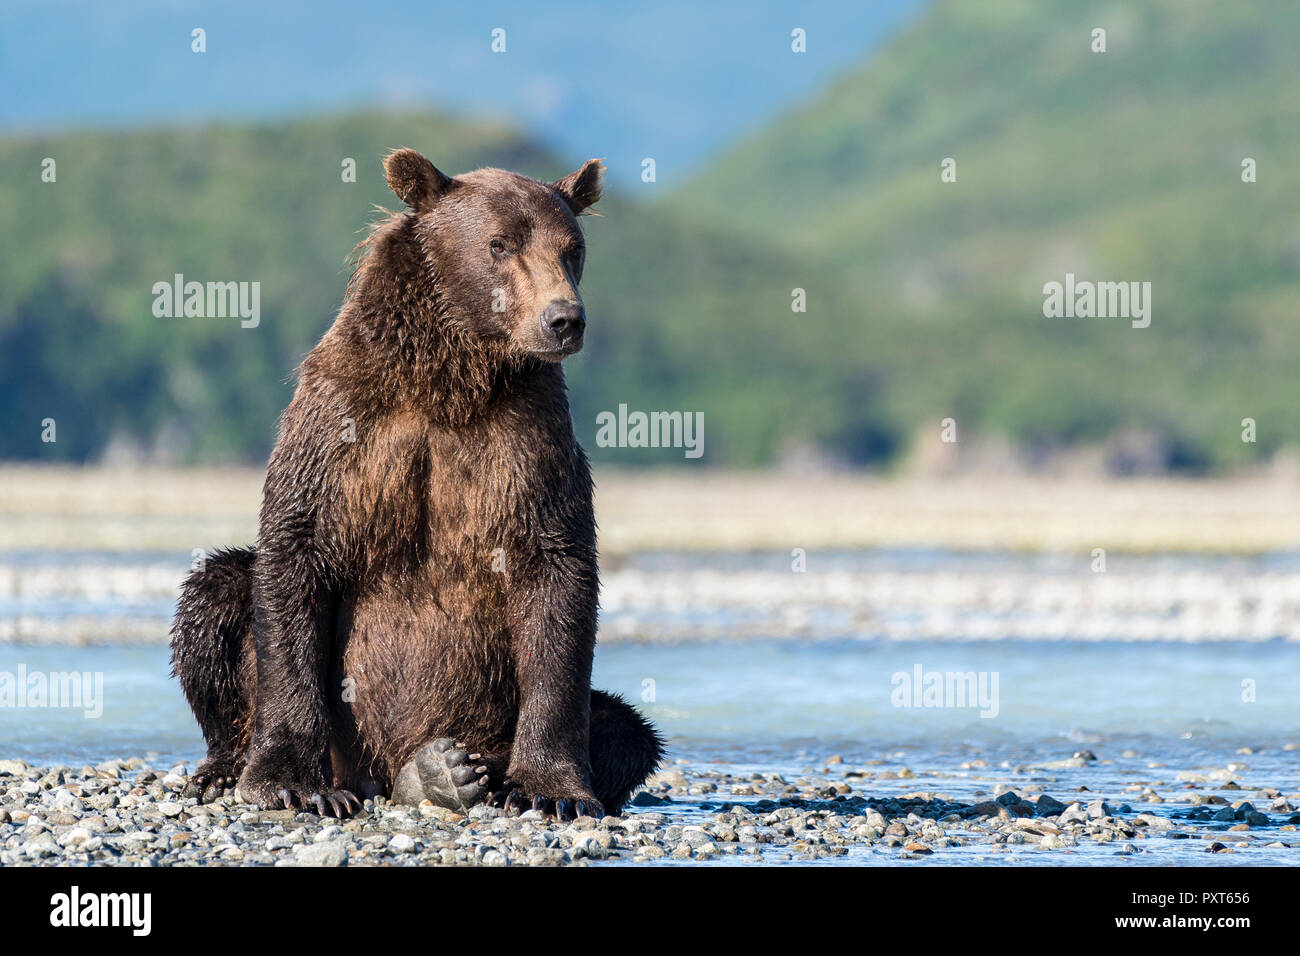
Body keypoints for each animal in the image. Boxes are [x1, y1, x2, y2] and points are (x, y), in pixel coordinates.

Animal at [170, 148, 663, 820]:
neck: (446, 378)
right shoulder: (342, 423)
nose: (564, 320)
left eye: (573, 248)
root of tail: (380, 766)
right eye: (499, 243)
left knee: (626, 728)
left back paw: (447, 771)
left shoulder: (528, 439)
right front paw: (291, 782)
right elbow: (295, 551)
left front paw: (551, 789)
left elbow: (555, 571)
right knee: (214, 593)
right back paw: (227, 770)